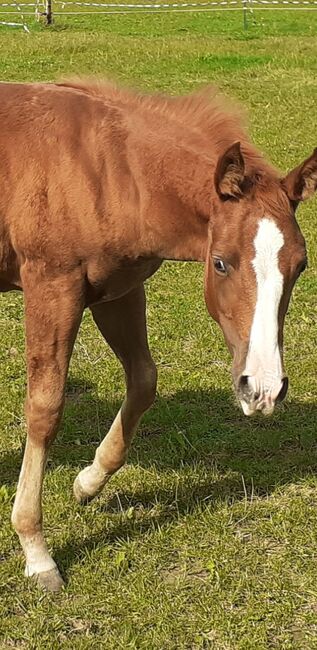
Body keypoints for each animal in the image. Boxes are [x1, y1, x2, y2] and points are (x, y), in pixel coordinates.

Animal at [0, 78, 314, 588]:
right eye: (220, 262)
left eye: (301, 265)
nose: (263, 389)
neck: (108, 170)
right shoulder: (52, 284)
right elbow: (45, 408)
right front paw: (36, 549)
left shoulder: (117, 289)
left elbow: (144, 381)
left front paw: (87, 483)